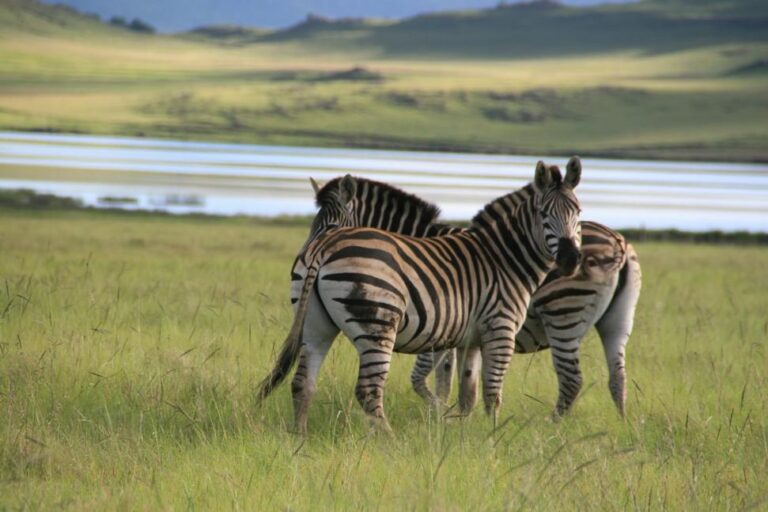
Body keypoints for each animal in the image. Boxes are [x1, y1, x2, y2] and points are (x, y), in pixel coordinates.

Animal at [258, 159, 583, 433]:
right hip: (379, 323)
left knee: (303, 383)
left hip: (316, 323)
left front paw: (462, 433)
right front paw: (490, 437)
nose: (570, 260)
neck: (505, 258)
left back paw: (299, 438)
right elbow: (489, 394)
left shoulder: (468, 338)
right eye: (544, 214)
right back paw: (389, 442)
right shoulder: (498, 330)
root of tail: (324, 249)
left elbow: (467, 391)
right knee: (368, 391)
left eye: (578, 212)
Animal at [295, 172, 640, 419]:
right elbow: (457, 386)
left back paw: (553, 426)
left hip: (563, 314)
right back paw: (623, 427)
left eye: (331, 226)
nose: (304, 263)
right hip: (615, 323)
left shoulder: (442, 327)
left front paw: (440, 415)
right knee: (618, 378)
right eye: (313, 226)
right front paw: (453, 419)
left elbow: (431, 382)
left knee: (571, 381)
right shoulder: (459, 331)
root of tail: (620, 242)